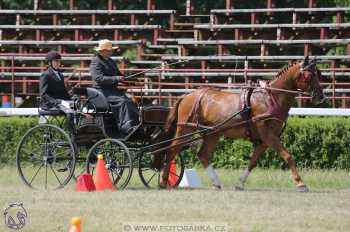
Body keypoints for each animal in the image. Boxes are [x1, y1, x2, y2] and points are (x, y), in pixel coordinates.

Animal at [163, 57, 324, 191]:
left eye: (318, 73)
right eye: (310, 76)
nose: (321, 96)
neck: (270, 98)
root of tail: (187, 95)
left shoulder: (264, 140)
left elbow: (253, 162)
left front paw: (240, 183)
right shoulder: (268, 135)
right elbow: (288, 156)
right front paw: (301, 184)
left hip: (212, 133)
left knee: (203, 154)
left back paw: (216, 182)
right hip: (185, 129)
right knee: (172, 150)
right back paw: (164, 181)